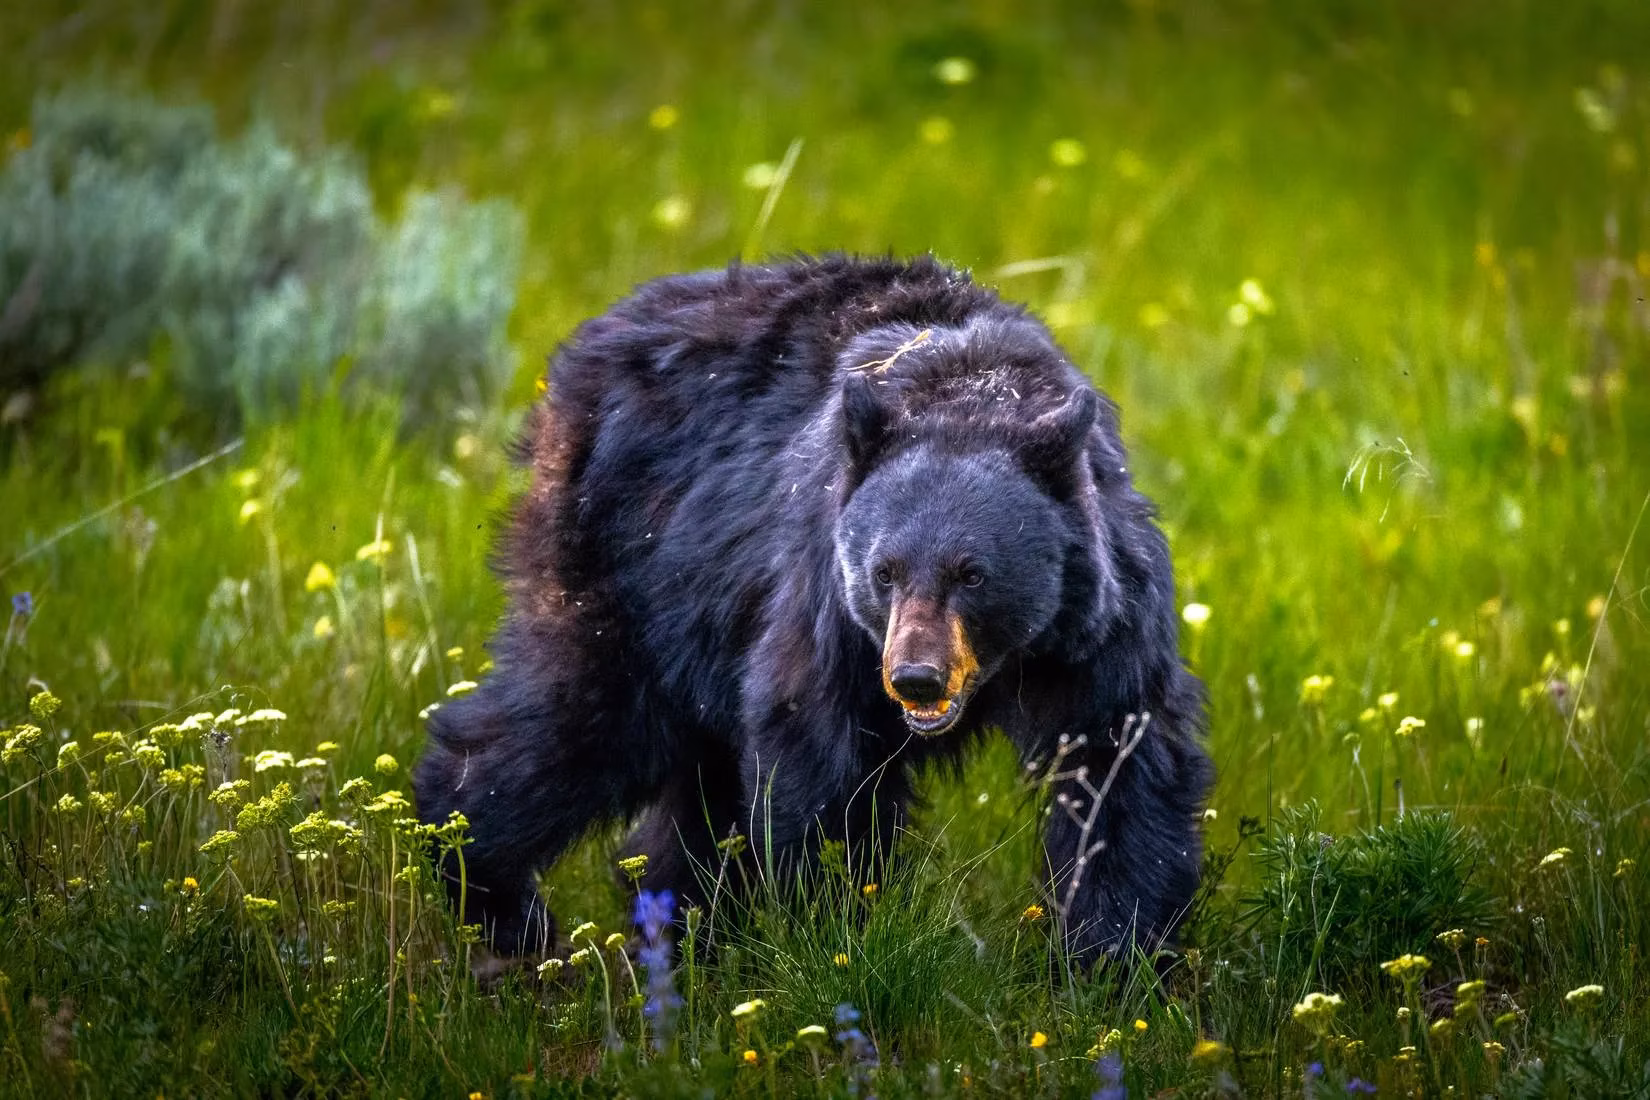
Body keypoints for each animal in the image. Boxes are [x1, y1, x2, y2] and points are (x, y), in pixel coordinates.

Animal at [413, 254, 1213, 967]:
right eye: (884, 573)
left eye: (973, 574)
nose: (916, 678)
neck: (972, 396)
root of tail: (571, 365)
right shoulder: (826, 601)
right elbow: (819, 755)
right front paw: (836, 928)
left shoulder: (1102, 622)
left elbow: (1121, 764)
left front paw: (1114, 957)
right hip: (633, 566)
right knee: (577, 718)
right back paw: (495, 896)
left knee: (691, 784)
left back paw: (682, 928)